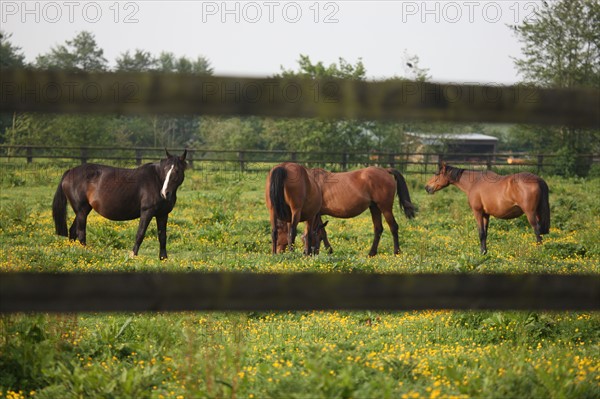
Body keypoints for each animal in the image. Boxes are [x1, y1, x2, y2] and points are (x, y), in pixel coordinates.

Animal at [52, 150, 186, 260]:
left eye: (177, 171)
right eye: (165, 170)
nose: (164, 193)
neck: (156, 181)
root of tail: (70, 172)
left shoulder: (163, 214)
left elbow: (162, 236)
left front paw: (163, 258)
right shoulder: (147, 212)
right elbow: (140, 234)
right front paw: (133, 255)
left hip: (83, 210)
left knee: (73, 231)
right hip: (81, 211)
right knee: (80, 232)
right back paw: (85, 253)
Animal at [424, 163, 552, 255]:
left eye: (436, 174)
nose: (427, 187)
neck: (474, 182)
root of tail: (538, 179)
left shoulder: (478, 212)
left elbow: (480, 233)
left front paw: (481, 253)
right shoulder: (486, 214)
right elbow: (485, 233)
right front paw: (485, 252)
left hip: (530, 214)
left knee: (537, 232)